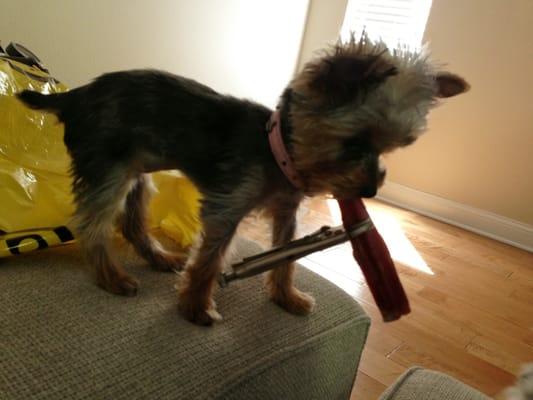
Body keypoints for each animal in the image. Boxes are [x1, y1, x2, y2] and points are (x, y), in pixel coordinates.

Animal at [18, 35, 468, 324]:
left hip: (136, 170)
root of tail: (74, 96)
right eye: (355, 142)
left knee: (131, 220)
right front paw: (197, 307)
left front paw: (286, 297)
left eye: (391, 148)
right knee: (92, 224)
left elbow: (286, 255)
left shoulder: (286, 211)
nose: (370, 190)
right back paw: (112, 278)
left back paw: (159, 258)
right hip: (108, 166)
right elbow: (210, 259)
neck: (278, 153)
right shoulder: (228, 205)